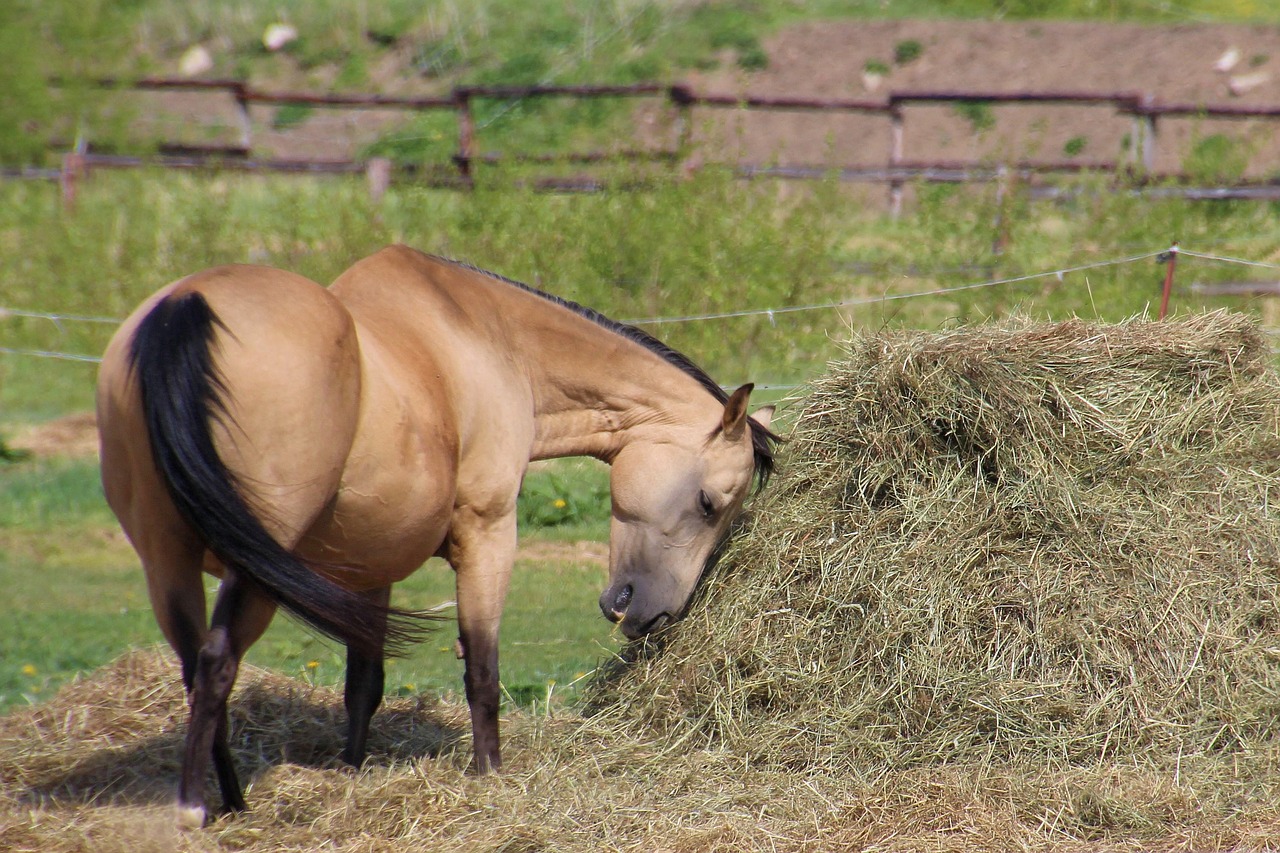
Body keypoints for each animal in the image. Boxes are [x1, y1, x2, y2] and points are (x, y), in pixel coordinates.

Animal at [94, 244, 773, 824]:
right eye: (709, 503)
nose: (655, 613)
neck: (486, 341)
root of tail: (184, 308)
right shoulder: (487, 536)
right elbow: (483, 670)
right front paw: (490, 776)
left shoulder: (368, 573)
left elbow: (363, 686)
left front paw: (353, 772)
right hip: (252, 571)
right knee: (216, 662)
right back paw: (196, 808)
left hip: (169, 565)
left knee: (197, 668)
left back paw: (231, 800)